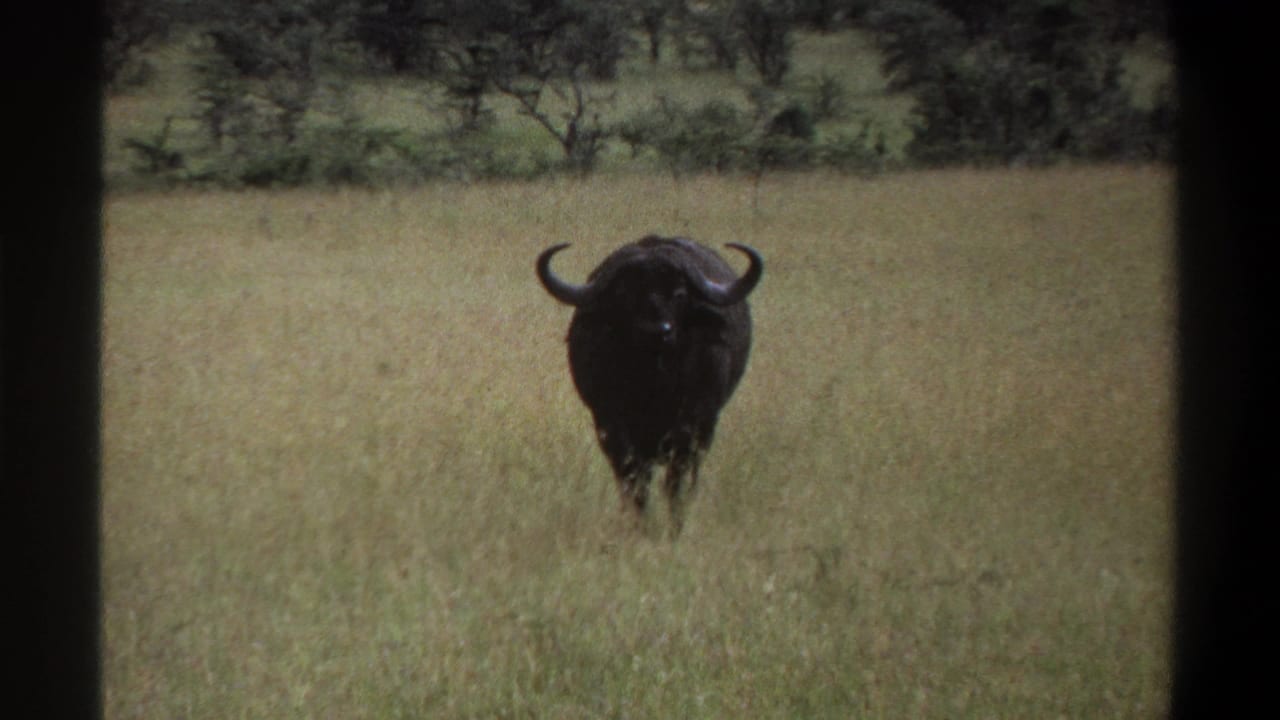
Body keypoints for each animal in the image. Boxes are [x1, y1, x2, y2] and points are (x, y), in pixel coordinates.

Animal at [536, 235, 763, 535]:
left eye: (679, 294)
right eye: (624, 293)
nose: (657, 331)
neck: (655, 384)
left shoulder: (694, 424)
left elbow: (676, 483)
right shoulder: (611, 426)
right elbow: (634, 480)